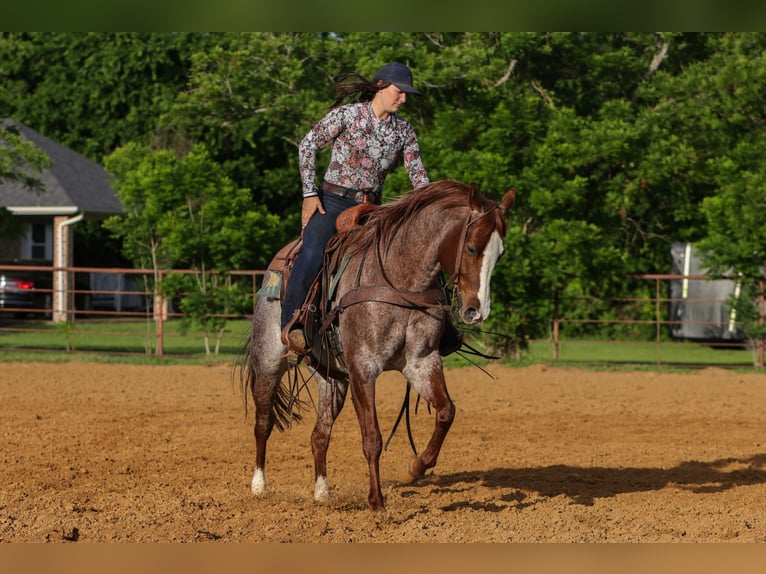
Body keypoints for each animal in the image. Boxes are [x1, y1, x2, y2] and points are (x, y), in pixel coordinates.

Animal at [240, 179, 515, 513]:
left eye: (500, 254)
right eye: (472, 247)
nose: (478, 311)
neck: (400, 282)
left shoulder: (421, 362)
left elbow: (446, 412)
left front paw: (415, 468)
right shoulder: (363, 368)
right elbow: (372, 437)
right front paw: (377, 502)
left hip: (333, 378)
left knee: (320, 434)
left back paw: (322, 492)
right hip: (268, 360)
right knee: (263, 422)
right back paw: (259, 485)